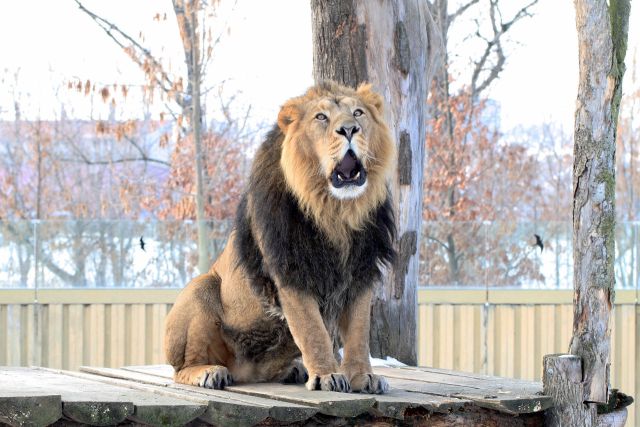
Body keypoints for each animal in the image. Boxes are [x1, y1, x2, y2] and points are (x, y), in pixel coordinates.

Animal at [162, 80, 398, 394]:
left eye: (358, 113)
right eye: (321, 117)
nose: (349, 129)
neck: (336, 213)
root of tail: (245, 373)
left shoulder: (361, 271)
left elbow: (359, 333)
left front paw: (362, 377)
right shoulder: (291, 271)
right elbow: (312, 331)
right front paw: (326, 376)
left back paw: (294, 369)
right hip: (201, 287)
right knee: (182, 368)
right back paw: (210, 372)